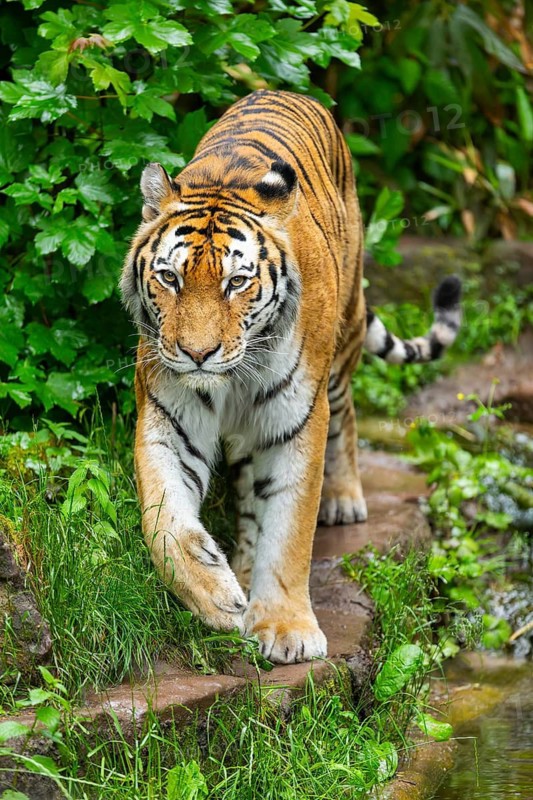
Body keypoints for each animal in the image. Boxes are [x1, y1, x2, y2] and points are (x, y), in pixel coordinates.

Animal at [120, 89, 461, 664]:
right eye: (169, 277)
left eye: (237, 282)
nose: (196, 354)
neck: (231, 380)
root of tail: (283, 91)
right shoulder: (169, 420)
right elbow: (163, 523)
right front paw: (217, 595)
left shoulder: (297, 420)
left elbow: (290, 526)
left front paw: (285, 629)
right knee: (247, 494)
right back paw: (240, 567)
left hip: (344, 340)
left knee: (347, 413)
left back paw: (344, 499)